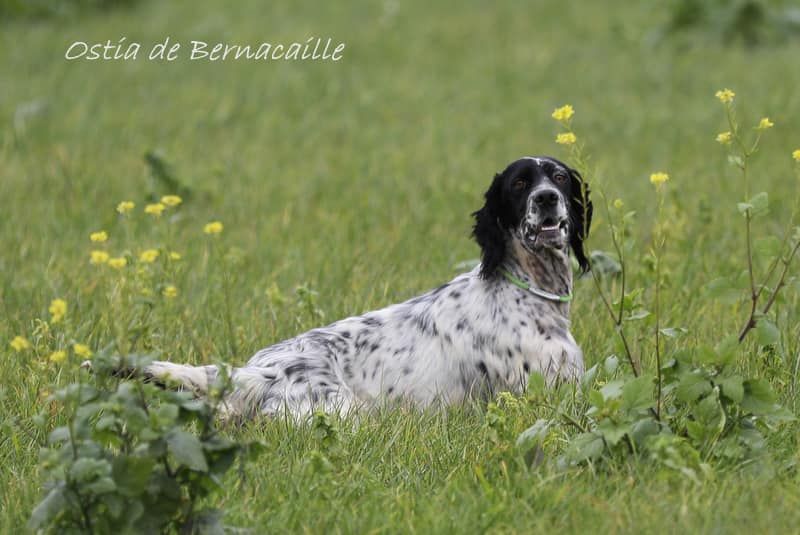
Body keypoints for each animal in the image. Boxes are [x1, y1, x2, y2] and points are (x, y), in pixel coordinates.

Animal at [138, 156, 592, 418]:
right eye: (519, 184)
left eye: (559, 177)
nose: (547, 198)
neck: (526, 289)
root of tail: (254, 372)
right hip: (346, 412)